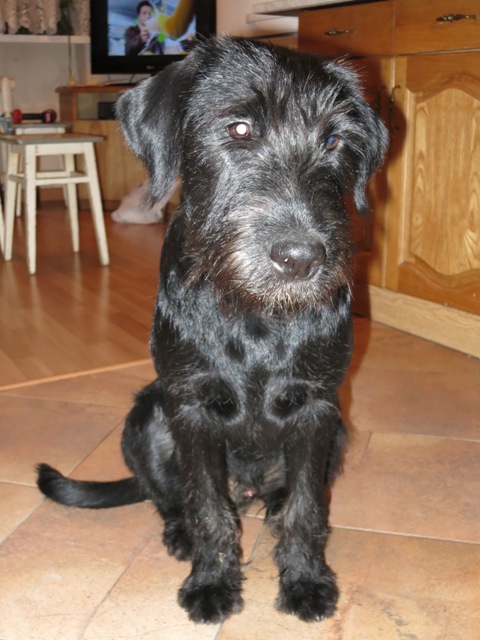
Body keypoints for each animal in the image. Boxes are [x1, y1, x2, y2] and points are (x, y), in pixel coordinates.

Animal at [37, 37, 388, 624]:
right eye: (239, 128)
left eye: (335, 139)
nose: (301, 258)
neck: (254, 311)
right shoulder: (191, 408)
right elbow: (205, 505)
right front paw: (211, 582)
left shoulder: (318, 407)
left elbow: (306, 506)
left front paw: (305, 578)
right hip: (145, 416)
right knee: (168, 497)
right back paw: (181, 534)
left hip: (338, 431)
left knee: (288, 495)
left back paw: (271, 507)